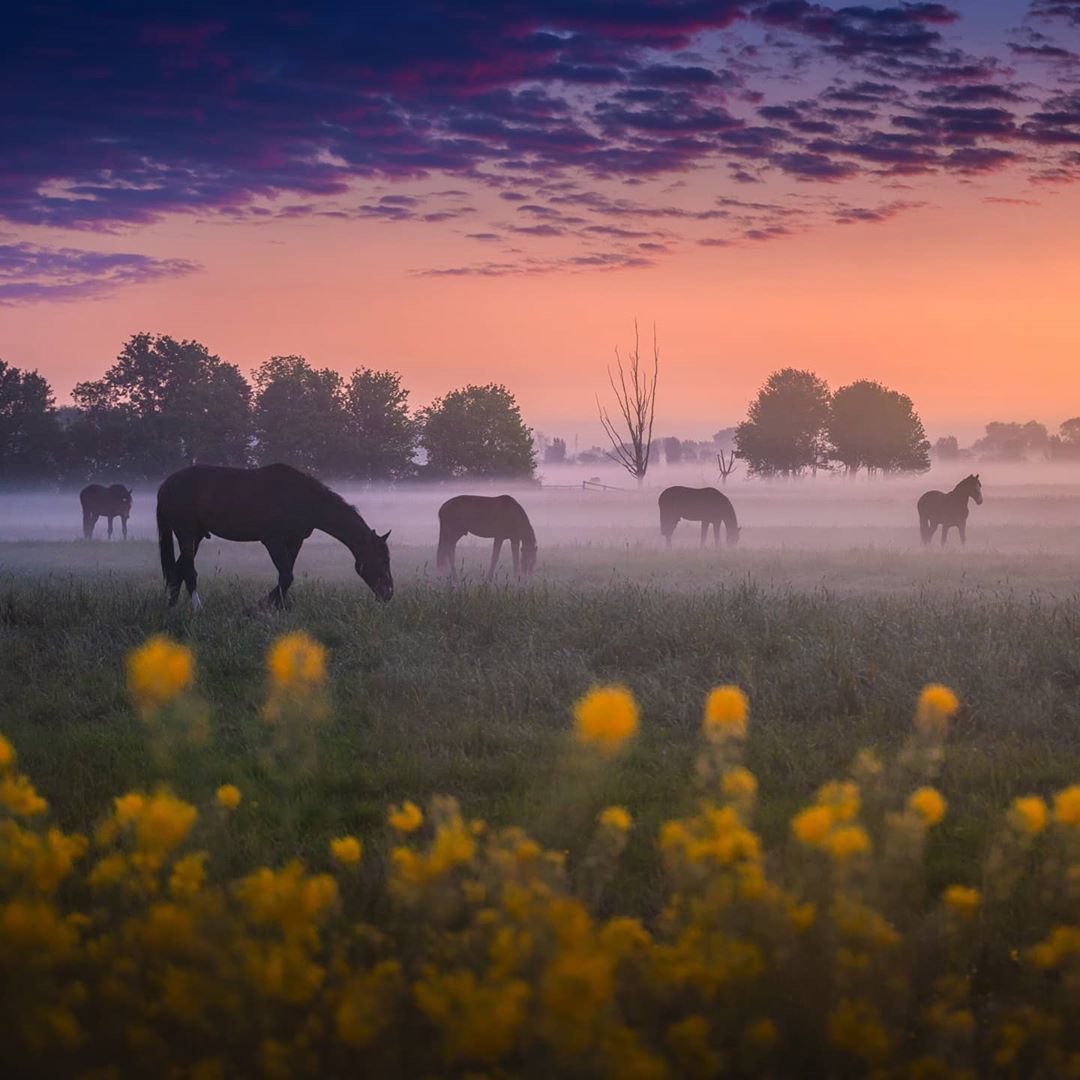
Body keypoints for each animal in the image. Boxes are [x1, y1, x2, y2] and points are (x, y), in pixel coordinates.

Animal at [157, 464, 395, 613]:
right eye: (382, 560)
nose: (388, 593)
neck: (305, 498)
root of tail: (165, 485)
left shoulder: (295, 541)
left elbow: (286, 577)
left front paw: (277, 607)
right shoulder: (274, 541)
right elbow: (286, 576)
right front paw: (258, 607)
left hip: (196, 537)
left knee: (176, 570)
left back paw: (171, 607)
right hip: (187, 534)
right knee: (189, 571)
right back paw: (198, 609)